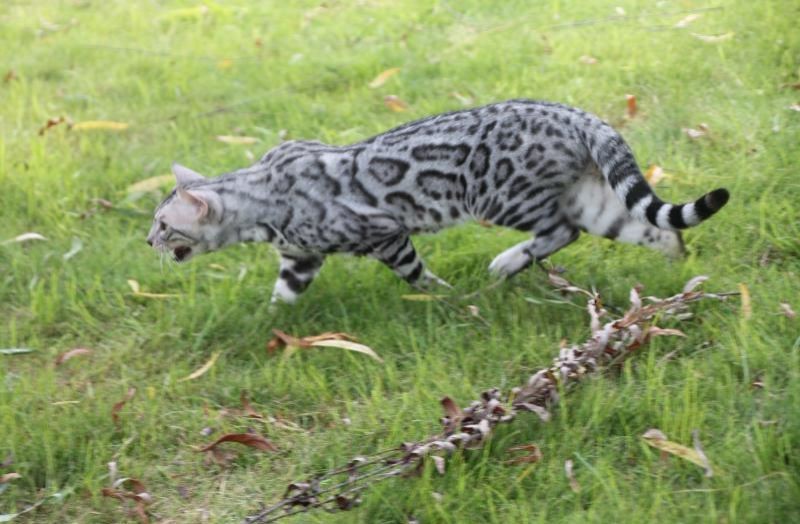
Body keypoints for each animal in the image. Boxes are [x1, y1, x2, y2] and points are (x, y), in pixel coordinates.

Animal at [147, 99, 728, 302]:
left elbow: (417, 275)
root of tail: (572, 113)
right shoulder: (300, 258)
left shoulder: (385, 234)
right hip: (590, 199)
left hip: (500, 196)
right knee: (649, 225)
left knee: (562, 230)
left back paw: (505, 263)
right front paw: (274, 331)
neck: (261, 195)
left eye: (163, 224)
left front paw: (444, 297)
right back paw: (677, 260)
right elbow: (283, 294)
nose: (147, 241)